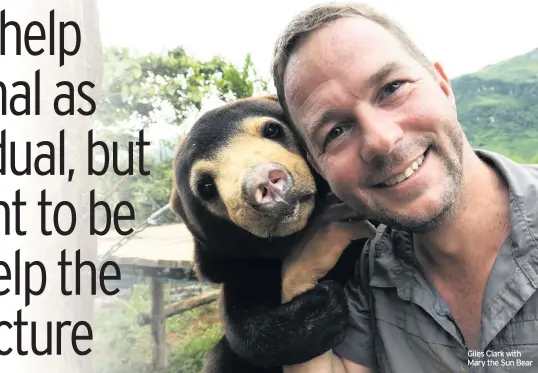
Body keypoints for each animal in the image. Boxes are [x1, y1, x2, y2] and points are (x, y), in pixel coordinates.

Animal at [170, 96, 370, 372]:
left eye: (272, 129)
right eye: (206, 186)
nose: (264, 184)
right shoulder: (244, 265)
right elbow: (240, 326)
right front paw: (323, 309)